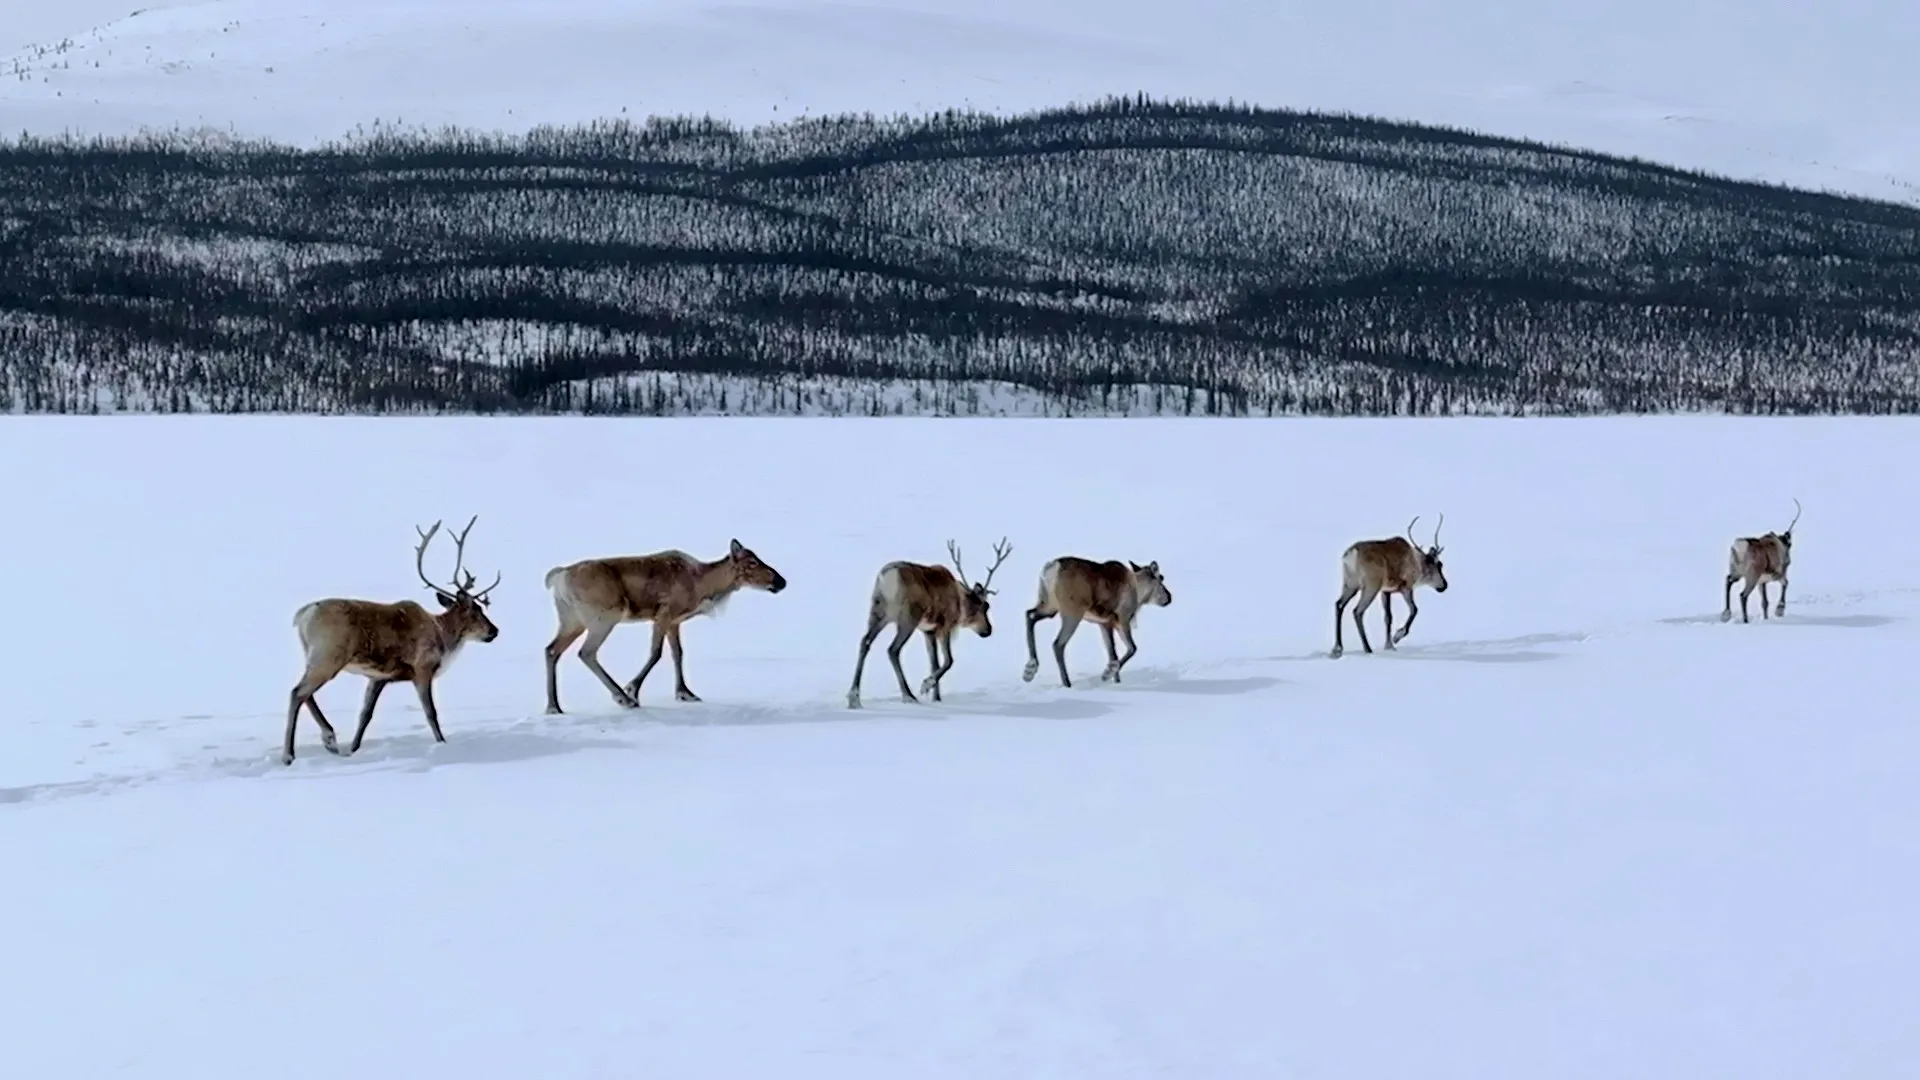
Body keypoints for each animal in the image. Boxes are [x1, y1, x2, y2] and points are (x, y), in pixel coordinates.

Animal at [283, 516, 501, 766]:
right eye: (475, 611)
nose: (494, 631)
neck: (443, 638)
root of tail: (302, 615)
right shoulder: (422, 668)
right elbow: (431, 712)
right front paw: (442, 743)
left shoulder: (378, 677)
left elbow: (365, 715)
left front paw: (353, 748)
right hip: (329, 656)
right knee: (297, 692)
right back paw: (289, 754)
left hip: (314, 655)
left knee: (304, 692)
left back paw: (330, 740)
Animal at [543, 539, 787, 714]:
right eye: (752, 562)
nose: (781, 581)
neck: (703, 587)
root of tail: (559, 577)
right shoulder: (663, 614)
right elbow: (656, 653)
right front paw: (633, 689)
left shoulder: (674, 622)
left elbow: (678, 653)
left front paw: (685, 693)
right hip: (603, 618)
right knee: (586, 652)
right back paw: (623, 698)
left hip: (571, 620)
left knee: (551, 650)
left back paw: (554, 707)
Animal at [848, 538, 1013, 709]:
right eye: (985, 606)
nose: (988, 630)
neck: (959, 603)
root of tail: (886, 578)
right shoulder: (944, 626)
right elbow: (948, 660)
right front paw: (927, 684)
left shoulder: (928, 630)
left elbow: (934, 663)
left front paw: (936, 698)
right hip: (908, 617)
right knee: (893, 649)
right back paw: (908, 696)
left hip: (878, 610)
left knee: (865, 642)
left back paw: (854, 698)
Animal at [1020, 556, 1172, 688]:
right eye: (1161, 578)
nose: (1169, 597)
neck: (1138, 592)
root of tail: (1051, 569)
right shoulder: (1122, 619)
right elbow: (1131, 648)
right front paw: (1107, 674)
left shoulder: (1104, 624)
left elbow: (1113, 654)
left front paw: (1115, 680)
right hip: (1072, 613)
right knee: (1058, 644)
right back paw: (1066, 683)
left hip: (1049, 605)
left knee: (1029, 615)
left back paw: (1030, 669)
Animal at [1330, 514, 1449, 659]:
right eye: (1440, 565)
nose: (1444, 585)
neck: (1416, 564)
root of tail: (1351, 554)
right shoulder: (1406, 587)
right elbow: (1414, 609)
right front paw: (1397, 637)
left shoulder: (1386, 591)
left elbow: (1388, 617)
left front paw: (1389, 646)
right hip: (1370, 586)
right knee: (1357, 611)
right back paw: (1367, 648)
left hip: (1350, 584)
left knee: (1339, 605)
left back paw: (1337, 649)